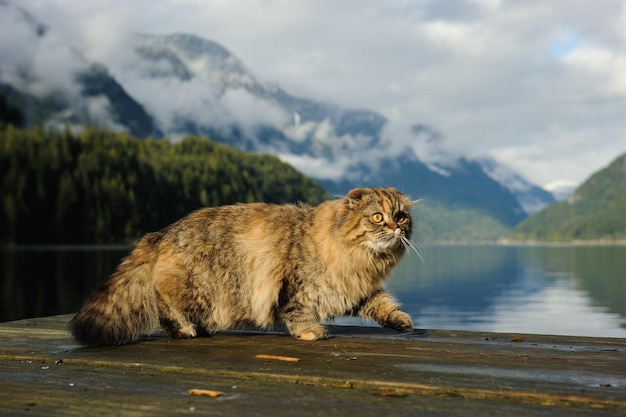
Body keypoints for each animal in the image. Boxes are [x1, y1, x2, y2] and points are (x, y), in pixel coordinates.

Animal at [69, 187, 414, 346]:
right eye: (378, 217)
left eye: (401, 217)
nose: (395, 228)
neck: (360, 259)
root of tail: (162, 232)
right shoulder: (297, 286)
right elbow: (298, 311)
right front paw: (310, 332)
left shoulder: (353, 287)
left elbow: (382, 303)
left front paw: (401, 321)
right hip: (195, 287)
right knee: (160, 298)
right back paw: (185, 330)